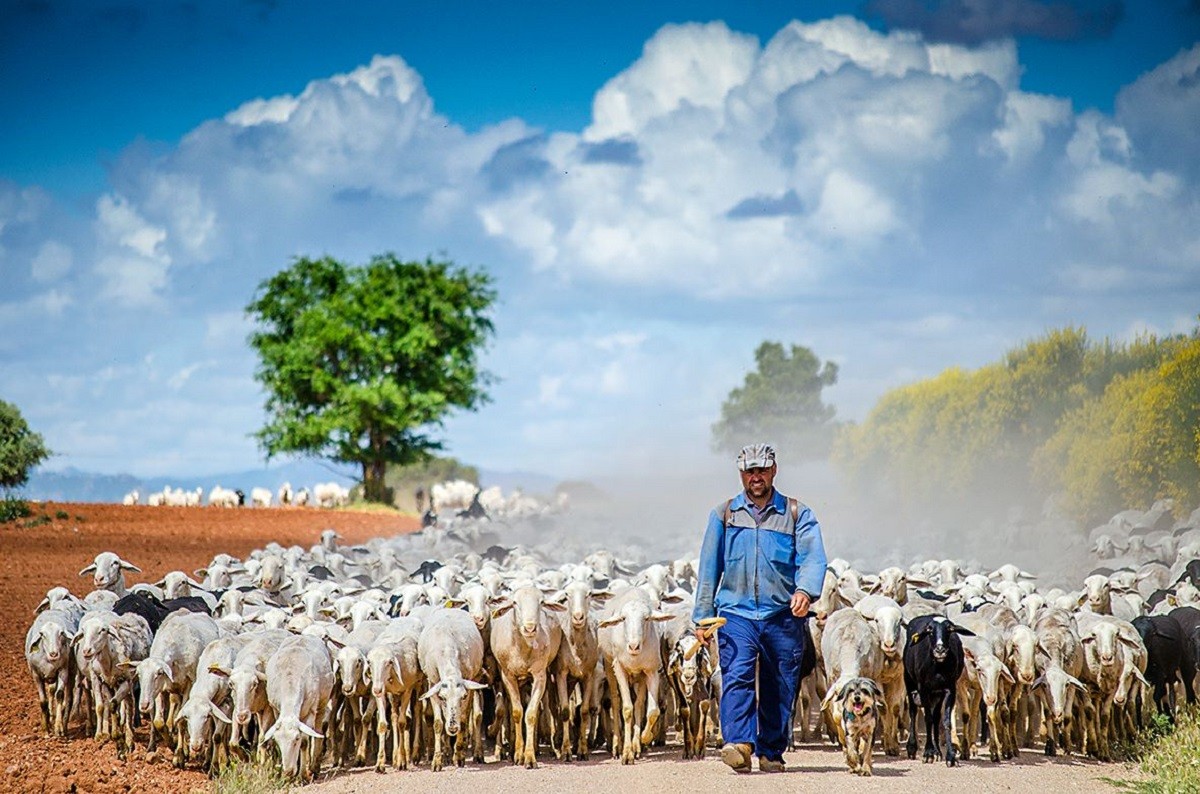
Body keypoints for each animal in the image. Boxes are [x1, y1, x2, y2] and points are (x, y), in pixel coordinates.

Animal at [902, 614, 974, 767]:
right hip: (909, 681)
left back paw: (938, 752)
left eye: (950, 629)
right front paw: (928, 753)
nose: (940, 650)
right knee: (913, 711)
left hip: (937, 694)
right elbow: (927, 719)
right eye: (930, 630)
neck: (938, 669)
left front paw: (950, 756)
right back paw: (912, 748)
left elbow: (945, 721)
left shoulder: (949, 689)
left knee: (936, 717)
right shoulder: (924, 689)